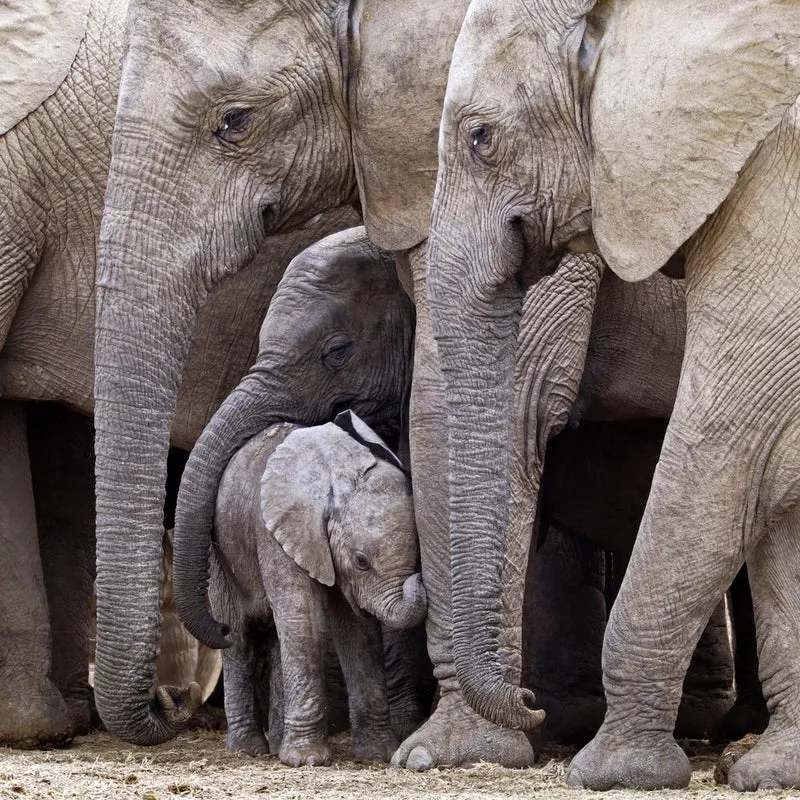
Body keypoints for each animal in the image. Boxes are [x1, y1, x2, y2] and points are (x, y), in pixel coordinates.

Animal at [197, 412, 425, 765]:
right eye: (361, 561)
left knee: (277, 640)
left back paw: (277, 746)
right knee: (238, 639)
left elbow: (357, 632)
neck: (338, 470)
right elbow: (304, 621)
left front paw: (377, 755)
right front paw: (307, 760)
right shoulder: (276, 532)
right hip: (221, 557)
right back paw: (248, 750)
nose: (420, 579)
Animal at [425, 0, 800, 789]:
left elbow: (732, 439)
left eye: (480, 139)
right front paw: (775, 770)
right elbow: (774, 462)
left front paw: (612, 772)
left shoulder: (776, 182)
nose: (530, 703)